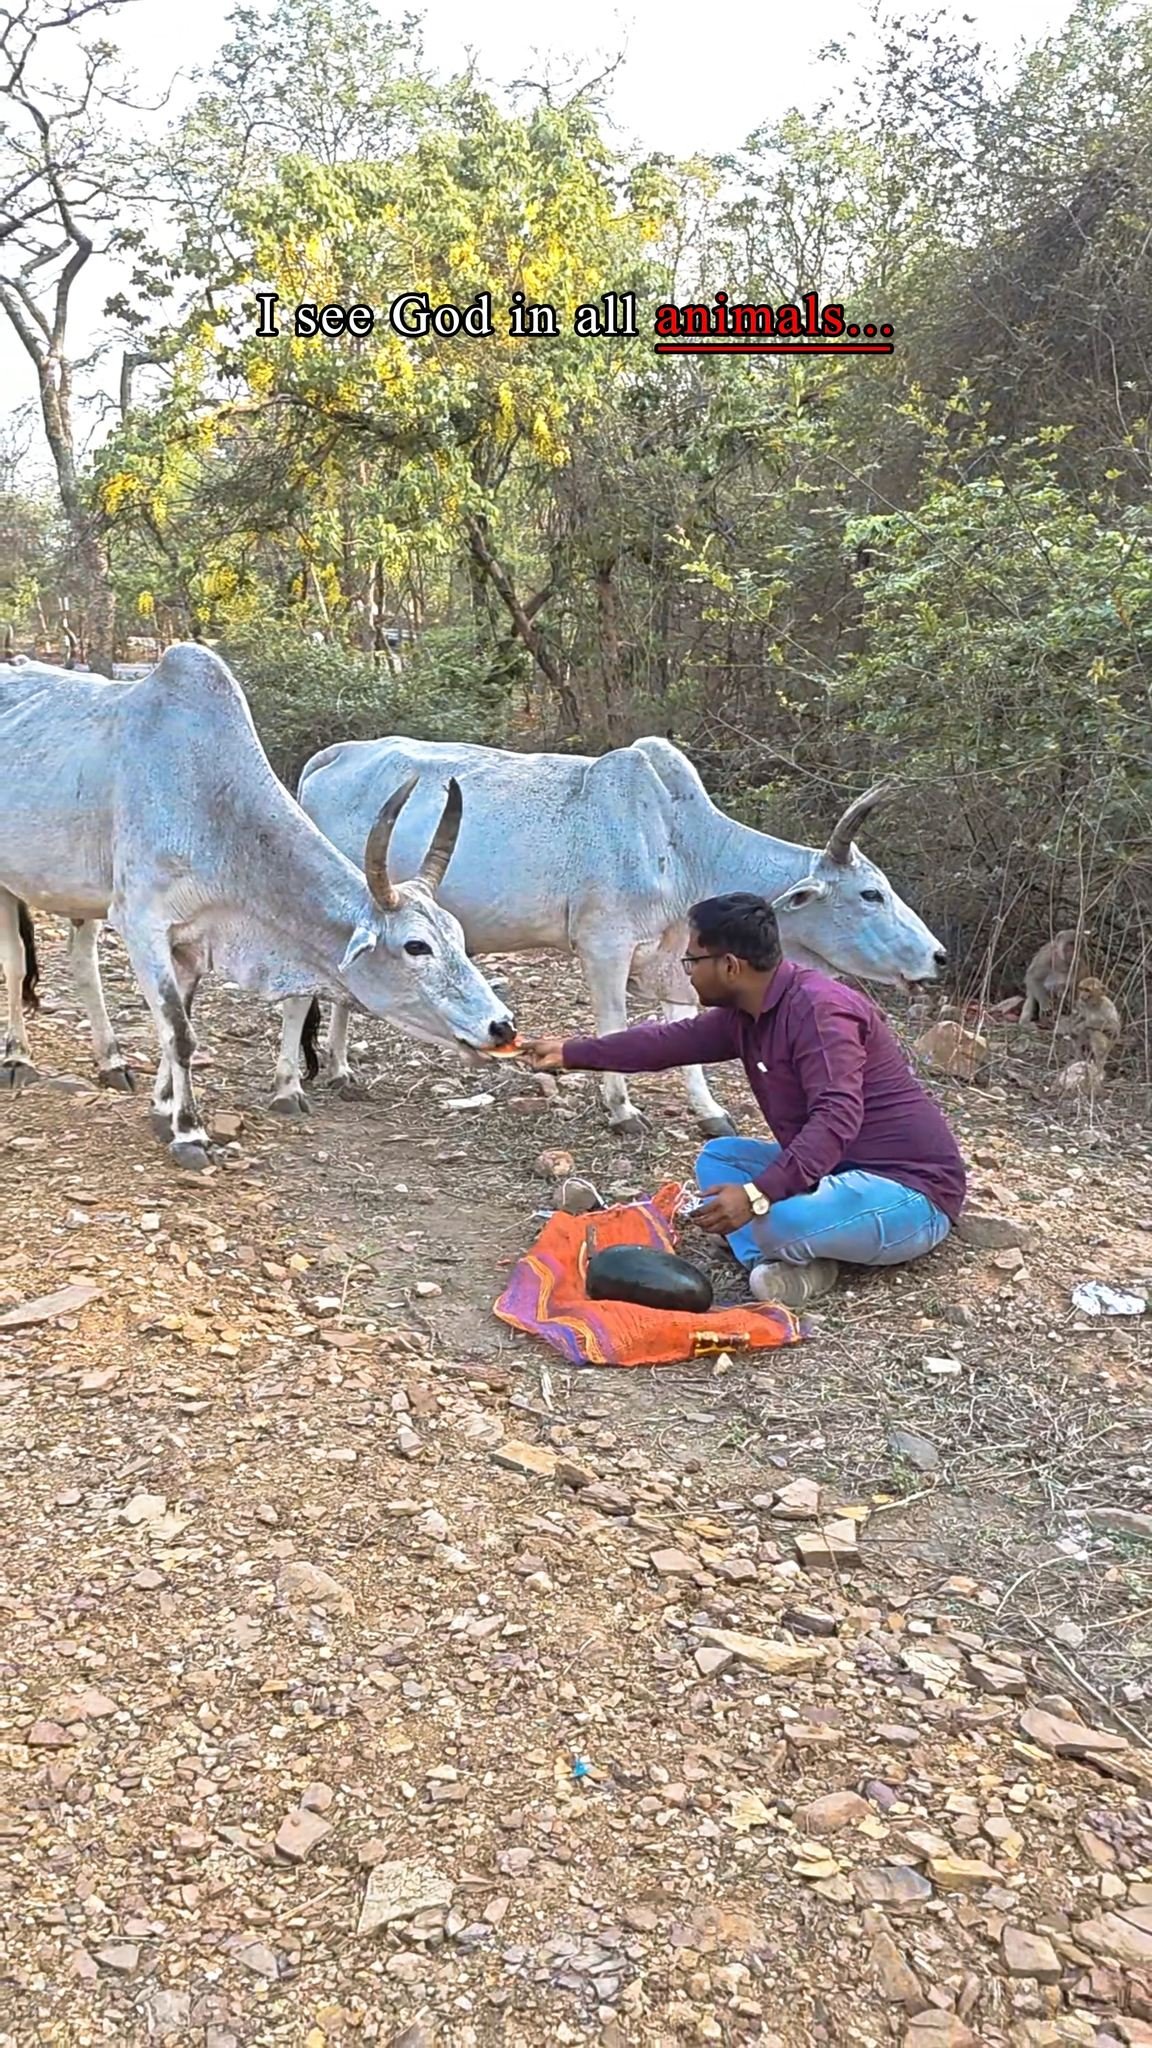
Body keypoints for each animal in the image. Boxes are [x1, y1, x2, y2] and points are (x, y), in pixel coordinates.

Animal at [0, 646, 516, 1166]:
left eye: (457, 937)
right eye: (416, 946)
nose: (502, 1027)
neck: (212, 801)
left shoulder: (190, 940)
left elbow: (177, 1024)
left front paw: (162, 1107)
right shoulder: (142, 924)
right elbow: (179, 1032)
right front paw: (189, 1132)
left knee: (81, 963)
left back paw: (110, 1061)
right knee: (15, 965)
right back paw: (18, 1057)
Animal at [273, 734, 948, 1134]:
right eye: (870, 894)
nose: (938, 957)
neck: (679, 843)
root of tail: (330, 757)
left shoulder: (676, 952)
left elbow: (682, 1025)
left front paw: (709, 1110)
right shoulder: (605, 948)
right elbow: (615, 1025)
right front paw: (621, 1108)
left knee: (343, 994)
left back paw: (340, 1070)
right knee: (302, 996)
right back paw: (289, 1086)